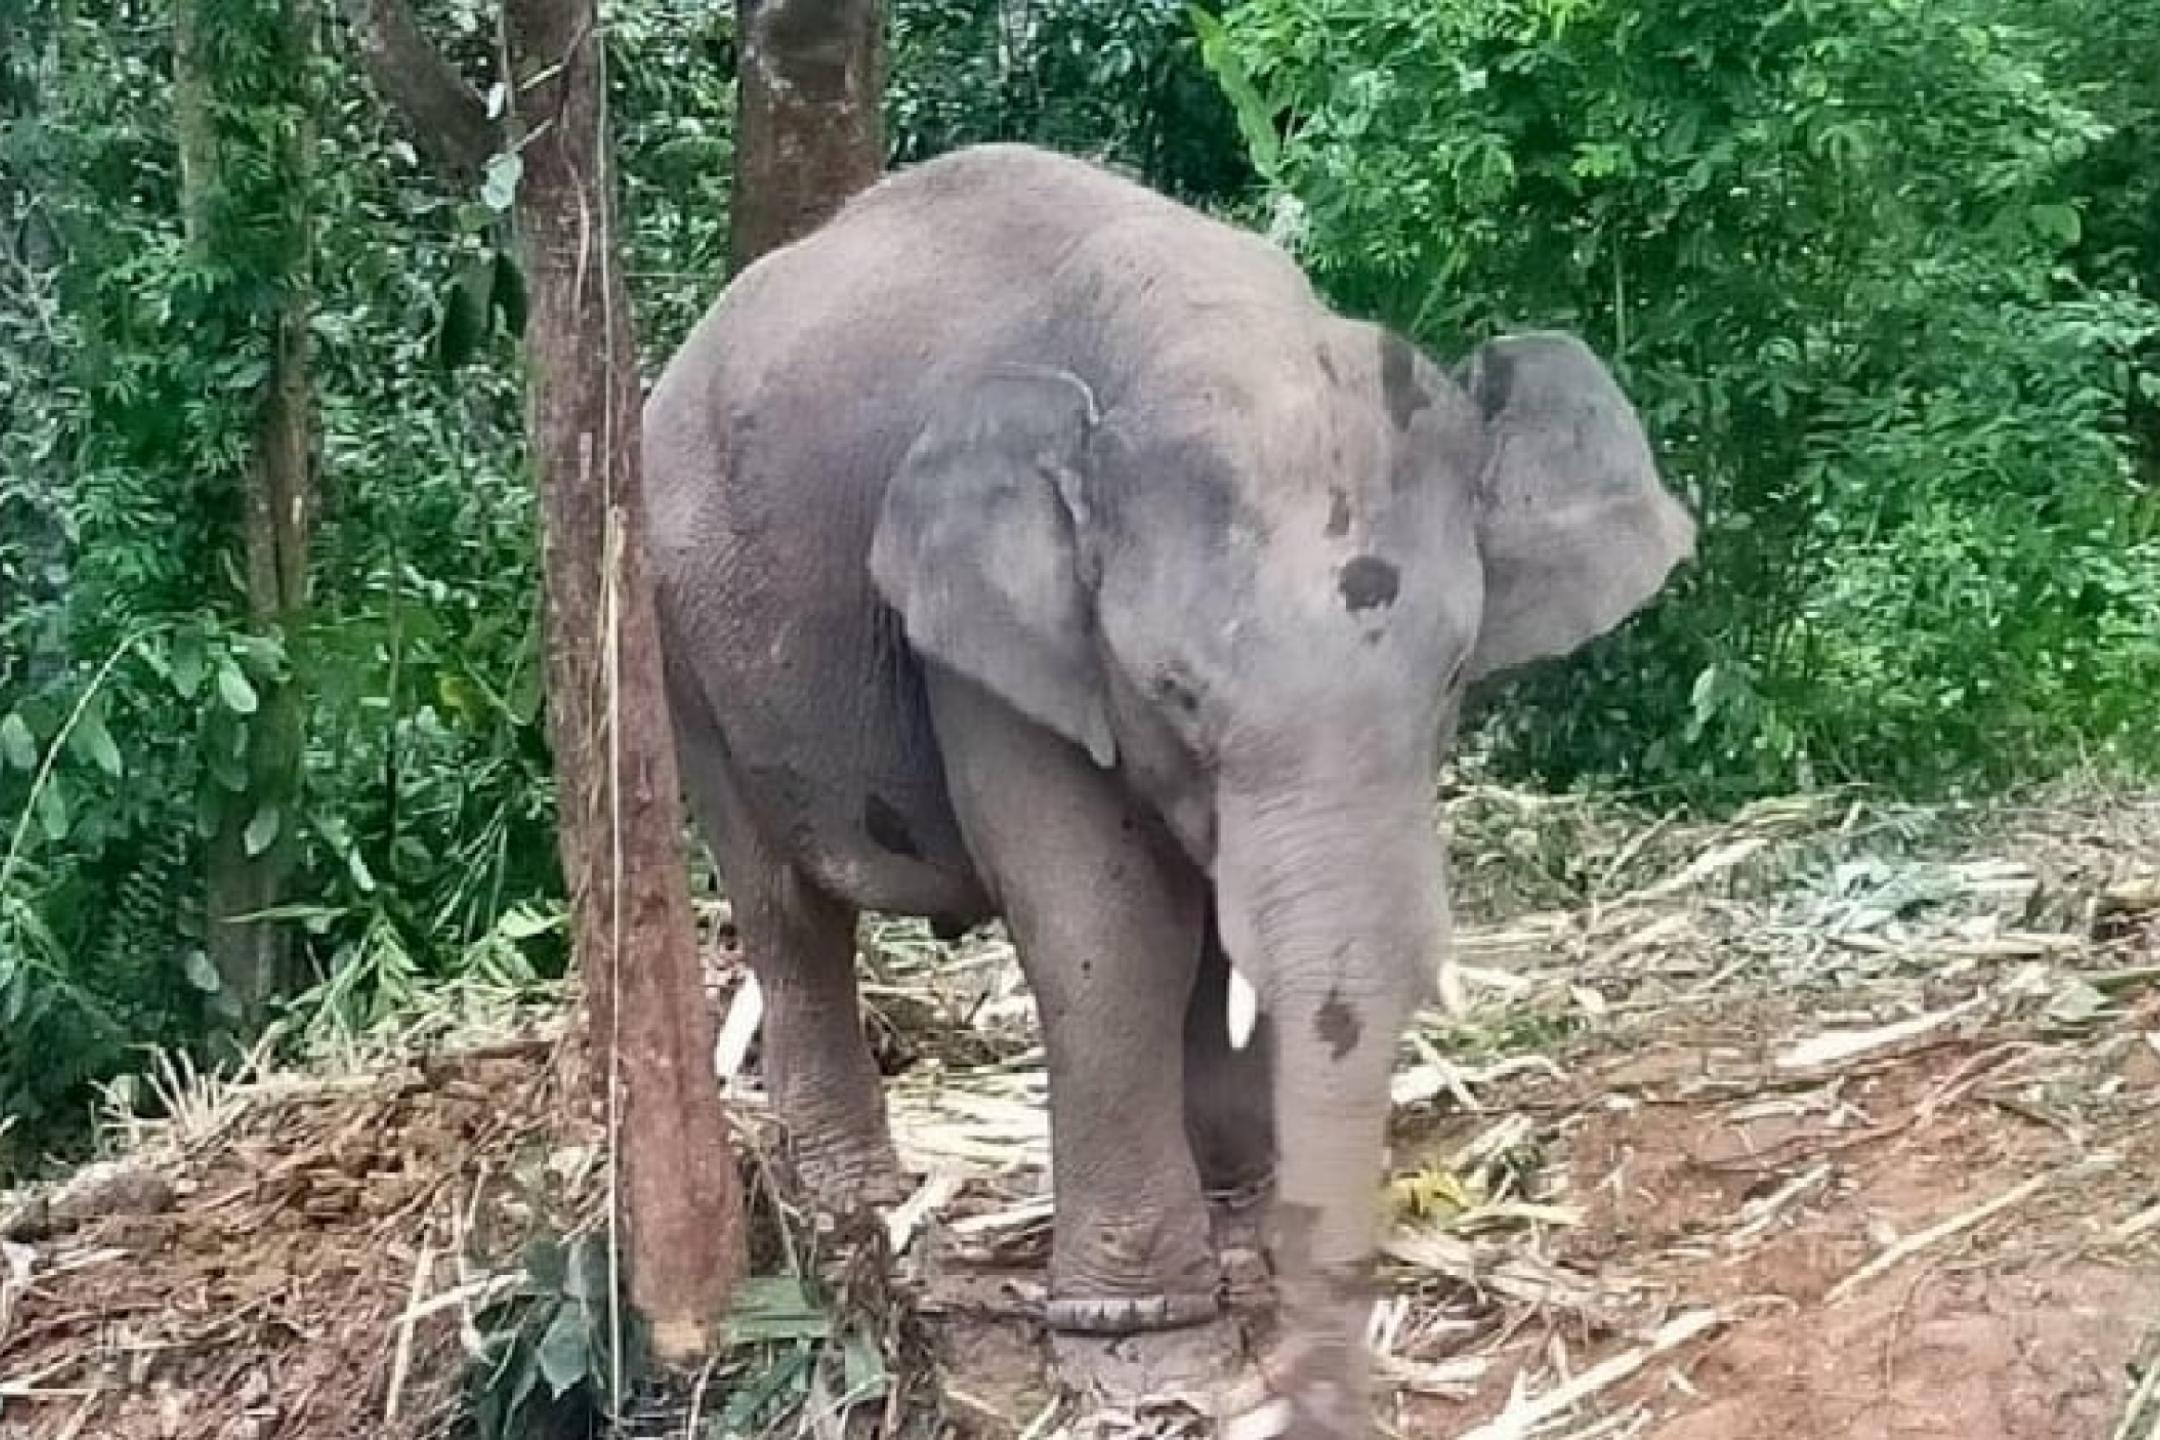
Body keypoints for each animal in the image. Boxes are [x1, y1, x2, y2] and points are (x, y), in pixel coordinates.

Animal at [648, 140, 1693, 1433]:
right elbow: (1108, 929)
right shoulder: (983, 660)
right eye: (1171, 691)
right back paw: (857, 1207)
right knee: (789, 915)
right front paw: (1149, 1349)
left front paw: (1246, 1208)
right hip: (682, 639)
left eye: (1452, 673)